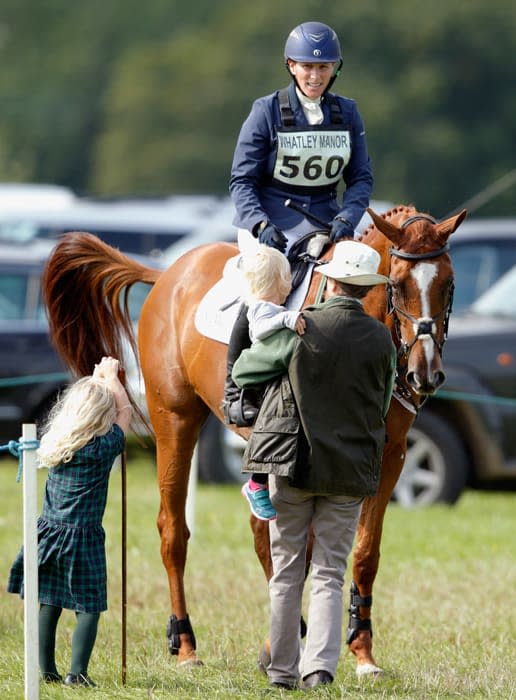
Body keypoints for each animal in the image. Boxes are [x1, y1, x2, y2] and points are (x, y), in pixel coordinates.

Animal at [41, 205, 468, 676]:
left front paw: (361, 651)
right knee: (174, 529)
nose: (424, 375)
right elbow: (303, 550)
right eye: (398, 284)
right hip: (175, 420)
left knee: (260, 530)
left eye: (449, 284)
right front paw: (289, 644)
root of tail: (168, 273)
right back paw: (185, 642)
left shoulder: (387, 457)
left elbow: (363, 551)